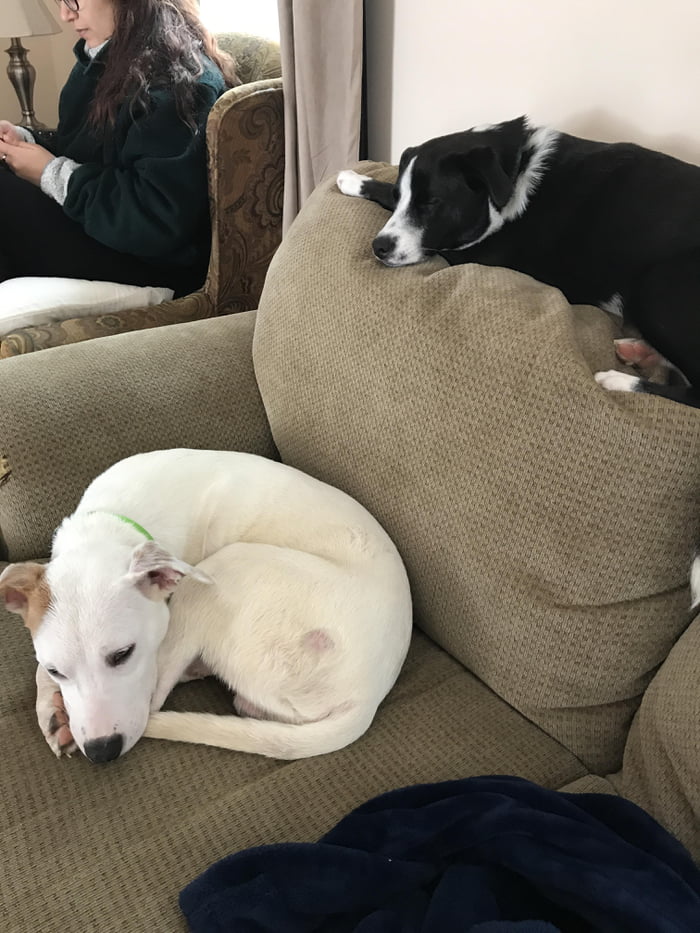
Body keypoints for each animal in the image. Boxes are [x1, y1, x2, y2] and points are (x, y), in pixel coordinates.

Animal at [0, 452, 410, 764]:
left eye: (123, 654)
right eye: (57, 669)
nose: (102, 752)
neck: (109, 526)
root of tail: (368, 697)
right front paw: (52, 711)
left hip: (223, 569)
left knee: (158, 699)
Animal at [338, 114, 700, 406]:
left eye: (432, 203)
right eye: (401, 196)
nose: (379, 247)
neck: (512, 169)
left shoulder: (474, 252)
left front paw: (354, 180)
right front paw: (356, 179)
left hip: (657, 284)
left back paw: (618, 379)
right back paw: (640, 352)